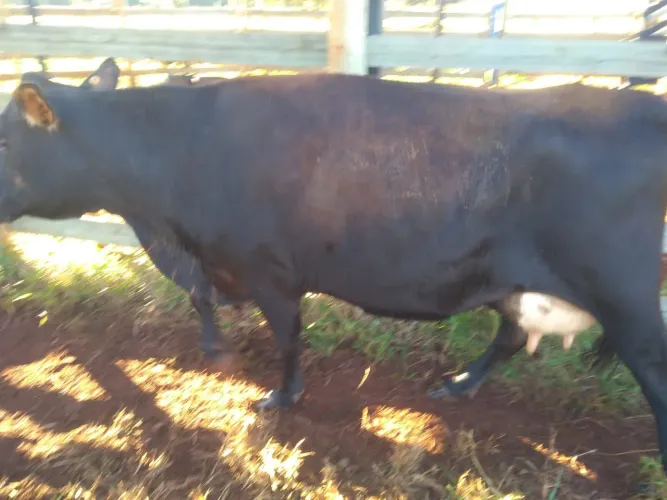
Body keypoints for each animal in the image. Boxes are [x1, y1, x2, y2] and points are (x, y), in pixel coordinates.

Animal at [1, 66, 667, 480]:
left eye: (6, 143)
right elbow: (202, 302)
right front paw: (218, 351)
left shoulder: (268, 268)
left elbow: (286, 337)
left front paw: (280, 397)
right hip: (520, 283)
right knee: (507, 336)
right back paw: (456, 386)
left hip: (629, 298)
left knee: (652, 372)